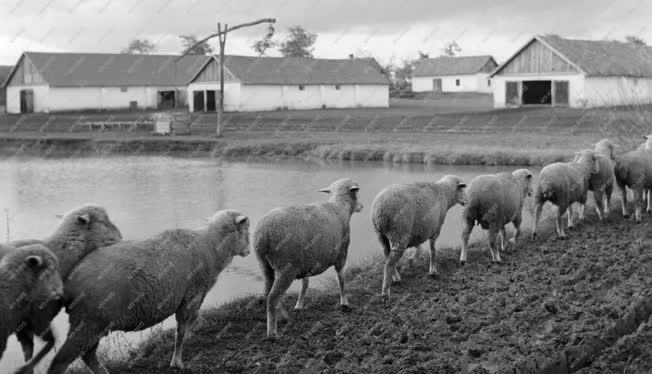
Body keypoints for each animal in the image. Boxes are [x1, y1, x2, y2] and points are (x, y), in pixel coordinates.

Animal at [45, 209, 250, 372]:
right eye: (246, 230)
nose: (248, 251)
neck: (212, 246)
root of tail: (70, 277)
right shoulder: (192, 295)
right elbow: (181, 331)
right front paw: (177, 363)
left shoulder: (192, 298)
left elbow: (191, 323)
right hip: (88, 321)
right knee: (63, 359)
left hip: (91, 322)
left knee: (87, 356)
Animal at [253, 177, 362, 338]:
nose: (361, 206)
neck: (340, 206)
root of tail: (262, 234)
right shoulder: (342, 254)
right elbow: (341, 278)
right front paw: (345, 303)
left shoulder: (306, 260)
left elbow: (305, 282)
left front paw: (299, 304)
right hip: (286, 267)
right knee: (272, 297)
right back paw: (272, 333)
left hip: (265, 265)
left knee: (268, 292)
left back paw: (283, 317)